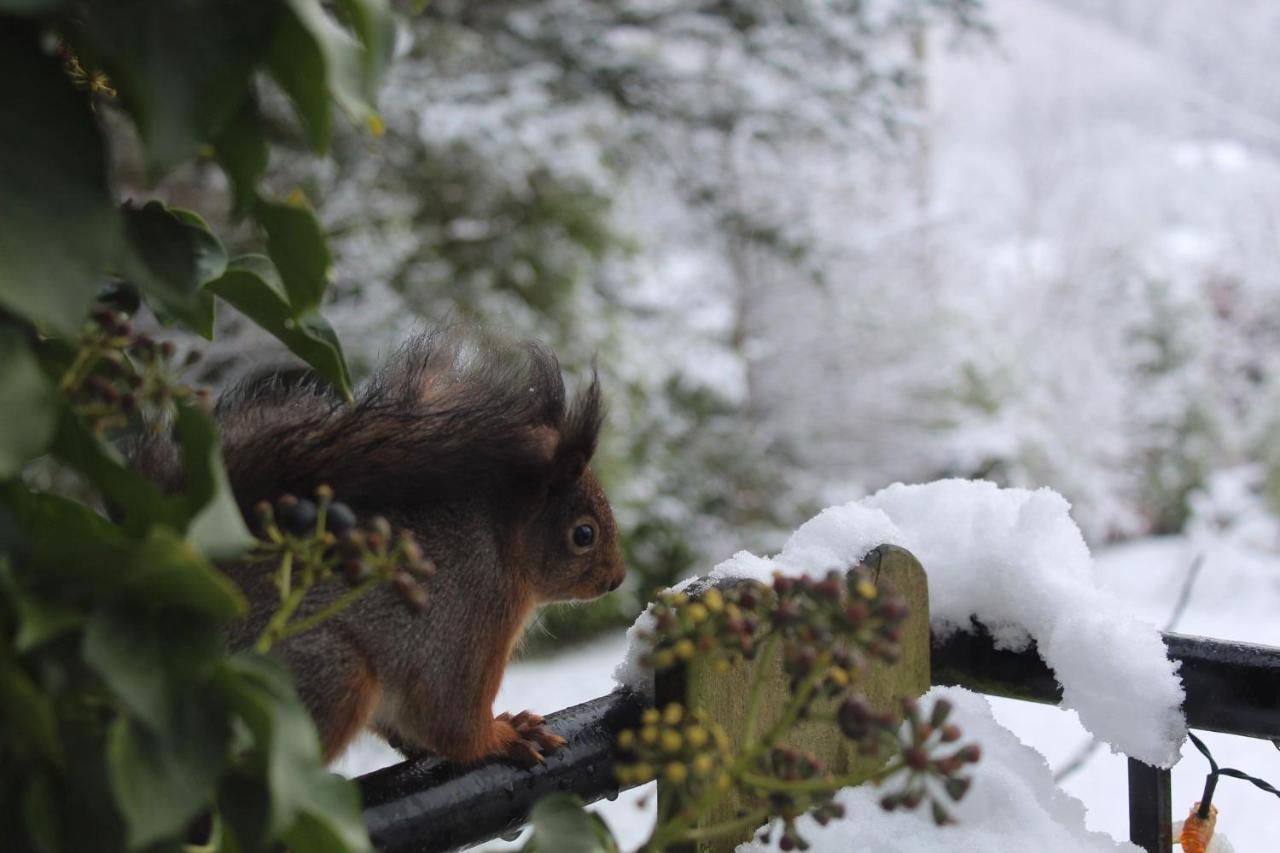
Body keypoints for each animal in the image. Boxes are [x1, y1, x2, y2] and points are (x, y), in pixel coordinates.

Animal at [136, 327, 624, 758]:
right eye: (583, 535)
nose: (617, 579)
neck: (501, 542)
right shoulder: (468, 615)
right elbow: (453, 722)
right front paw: (506, 736)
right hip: (319, 678)